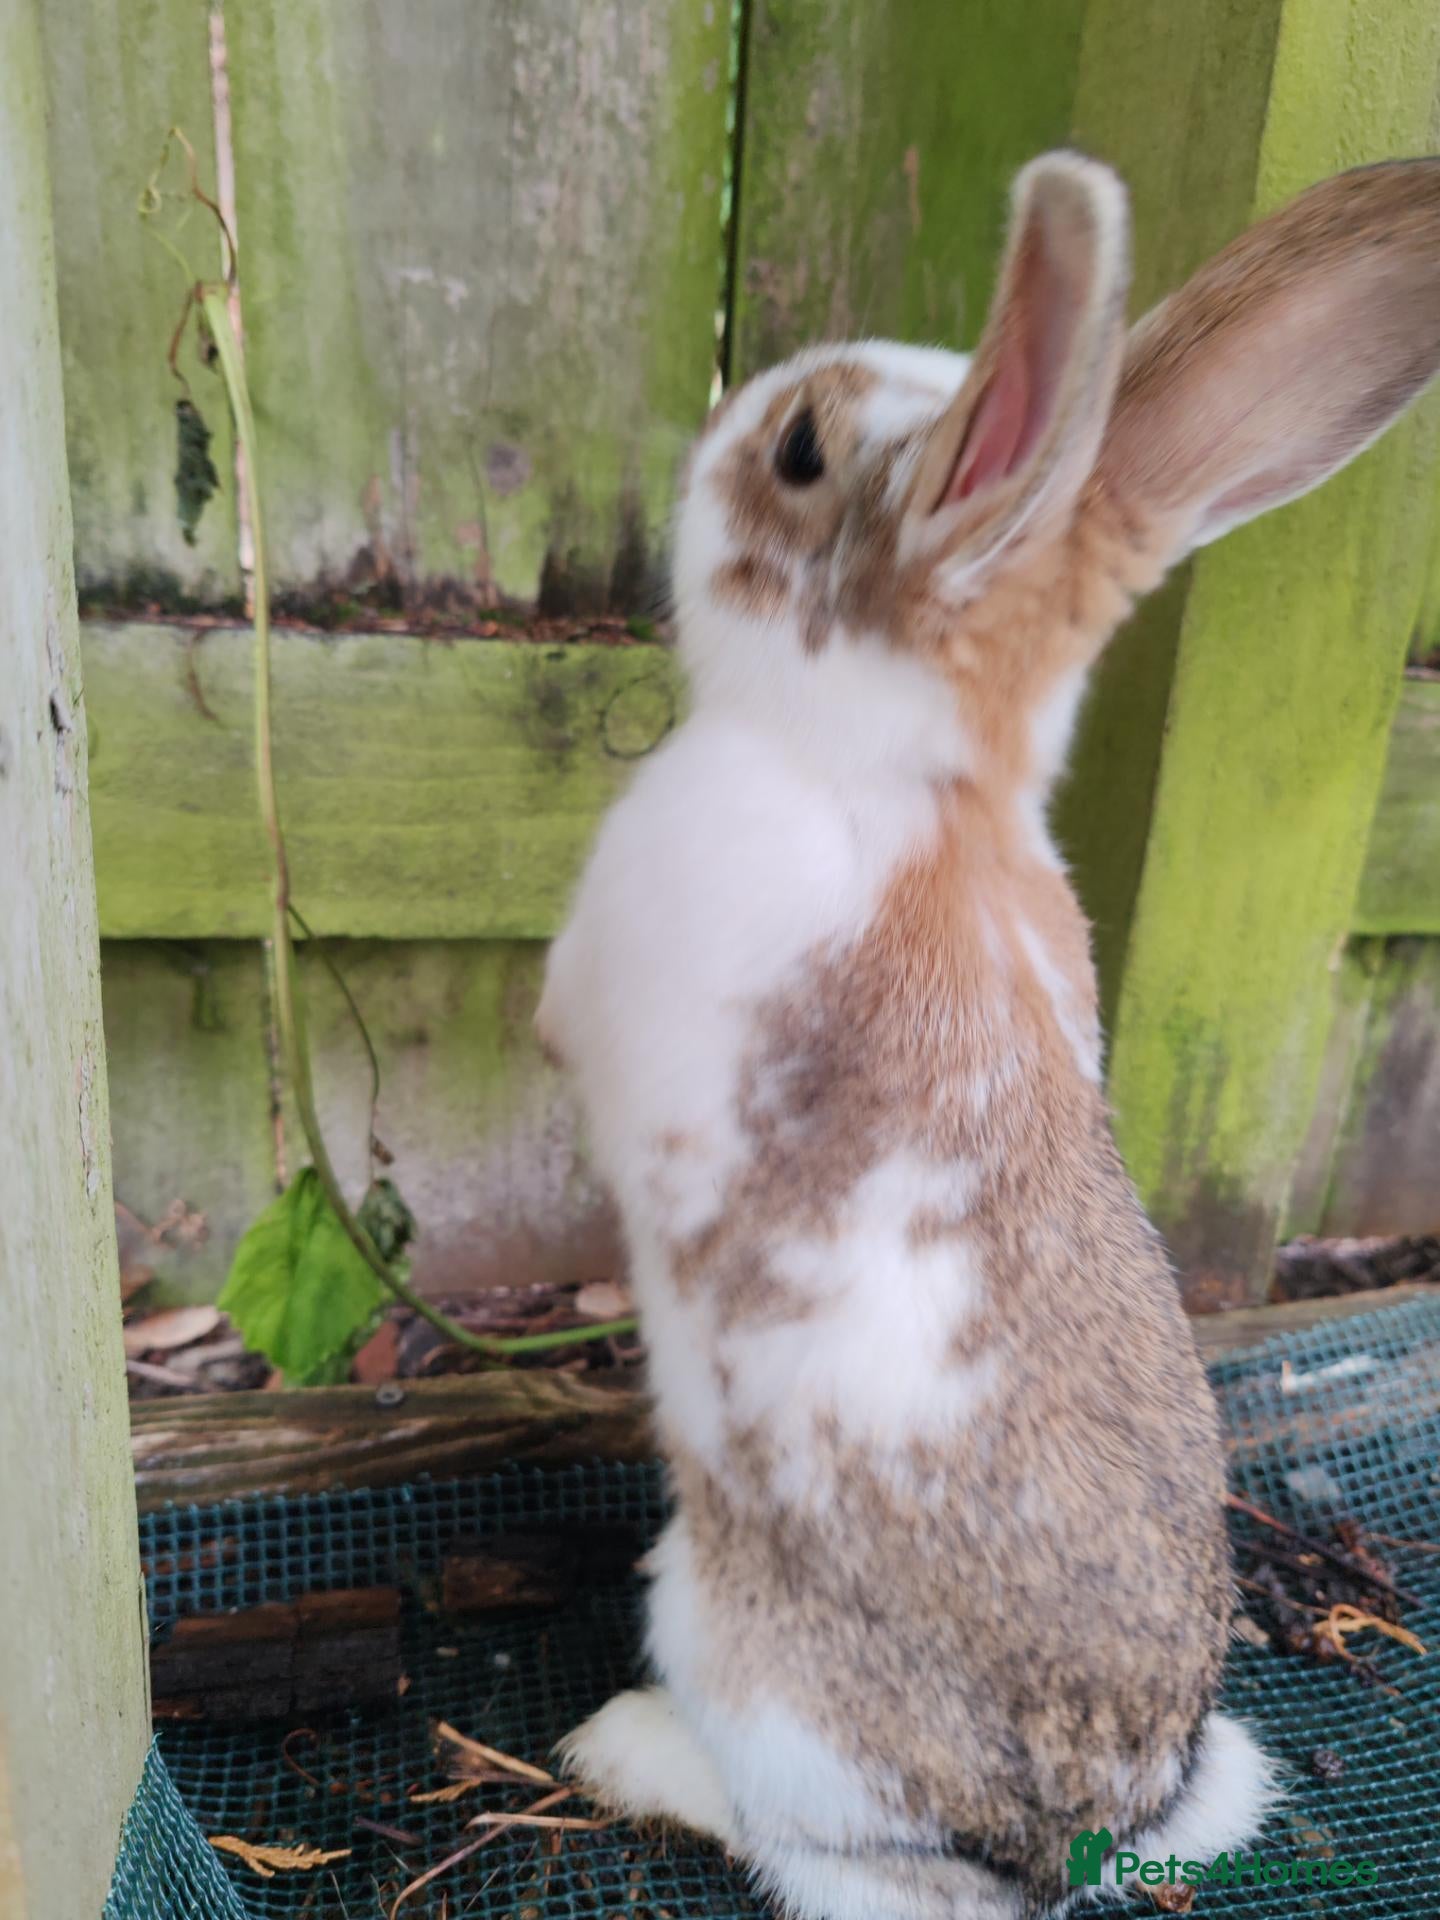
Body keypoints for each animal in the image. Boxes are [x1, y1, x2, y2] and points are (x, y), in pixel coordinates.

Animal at [535, 151, 1440, 1919]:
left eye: (802, 453)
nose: (714, 432)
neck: (912, 787)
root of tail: (1075, 1820)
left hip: (734, 1642)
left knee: (825, 1854)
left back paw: (623, 1753)